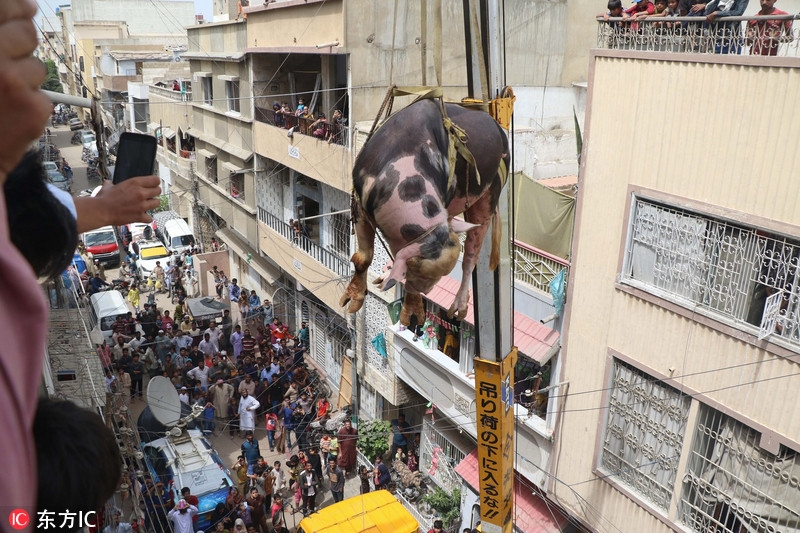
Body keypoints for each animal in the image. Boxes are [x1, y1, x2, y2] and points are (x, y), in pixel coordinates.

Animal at [340, 97, 510, 326]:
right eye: (412, 270)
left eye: (423, 277)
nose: (427, 291)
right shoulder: (359, 205)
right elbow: (363, 257)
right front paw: (351, 300)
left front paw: (411, 315)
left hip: (491, 191)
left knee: (471, 255)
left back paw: (459, 308)